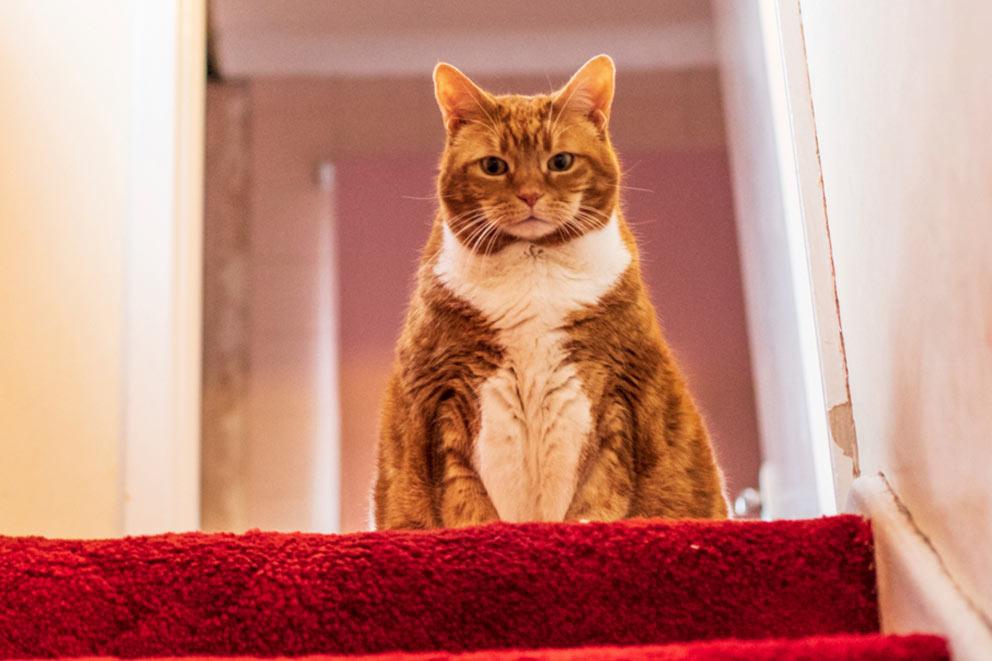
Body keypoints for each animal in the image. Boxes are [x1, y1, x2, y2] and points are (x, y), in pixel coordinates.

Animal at [376, 54, 724, 528]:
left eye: (560, 161)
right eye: (493, 166)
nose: (529, 195)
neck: (533, 265)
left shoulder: (619, 386)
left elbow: (603, 486)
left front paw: (585, 525)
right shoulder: (442, 388)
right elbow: (461, 493)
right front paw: (482, 529)